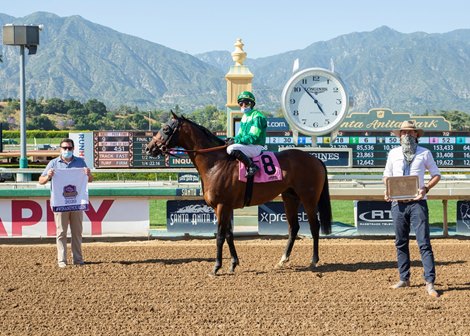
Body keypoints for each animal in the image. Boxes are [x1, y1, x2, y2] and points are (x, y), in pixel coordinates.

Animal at [145, 111, 332, 274]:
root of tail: (315, 159)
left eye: (166, 128)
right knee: (294, 227)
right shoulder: (222, 207)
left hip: (308, 198)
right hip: (290, 197)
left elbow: (220, 236)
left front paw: (216, 267)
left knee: (314, 226)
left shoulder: (222, 205)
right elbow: (229, 234)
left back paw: (314, 261)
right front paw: (233, 263)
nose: (149, 148)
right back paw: (282, 260)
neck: (215, 164)